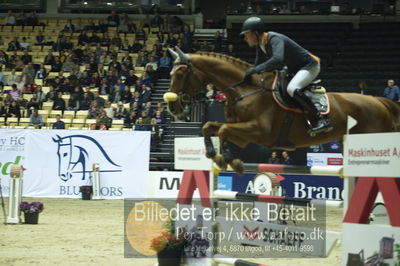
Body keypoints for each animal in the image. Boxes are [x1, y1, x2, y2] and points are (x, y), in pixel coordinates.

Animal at [163, 47, 400, 174]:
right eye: (170, 73)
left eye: (181, 73)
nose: (172, 106)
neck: (245, 89)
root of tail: (380, 102)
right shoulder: (242, 132)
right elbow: (208, 126)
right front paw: (215, 155)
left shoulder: (259, 131)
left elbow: (222, 131)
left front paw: (229, 160)